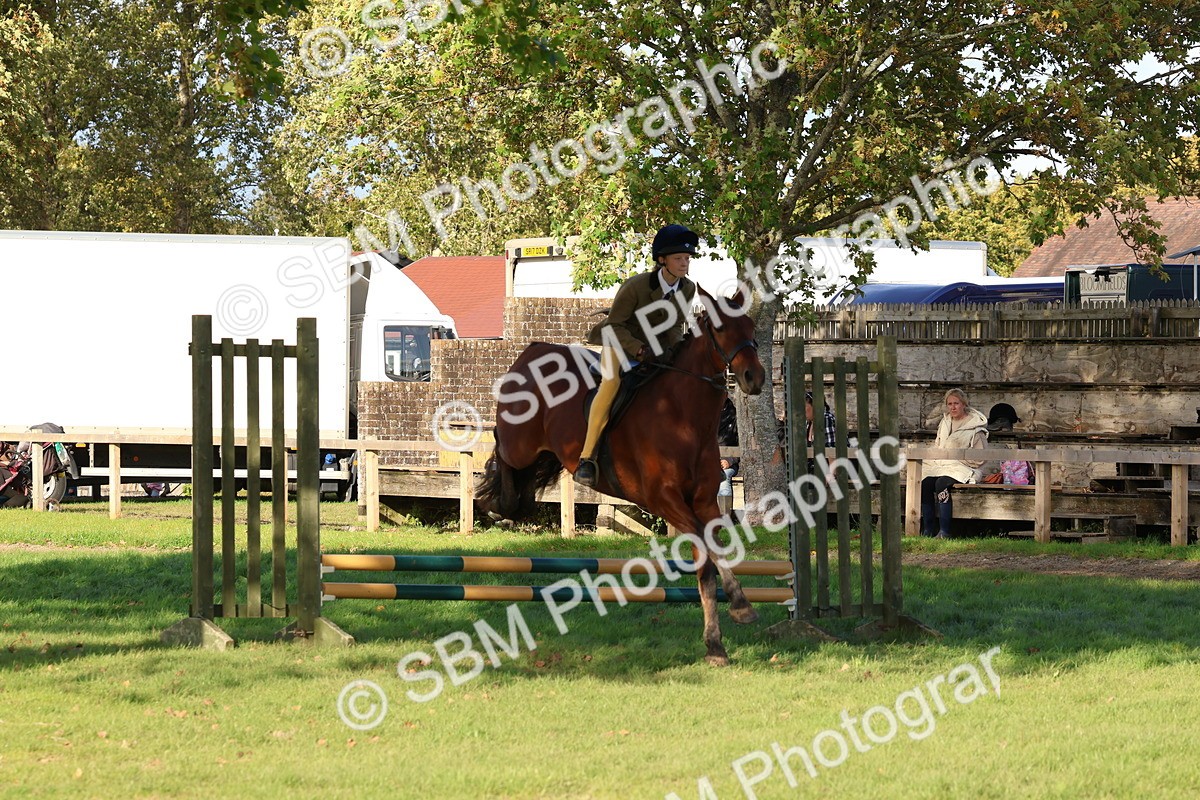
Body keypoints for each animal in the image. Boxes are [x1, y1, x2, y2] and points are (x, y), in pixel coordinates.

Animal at [477, 288, 767, 665]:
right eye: (720, 329)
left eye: (749, 325)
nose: (753, 377)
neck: (684, 418)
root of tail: (532, 350)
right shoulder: (664, 500)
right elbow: (707, 552)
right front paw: (740, 607)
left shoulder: (703, 502)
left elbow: (708, 562)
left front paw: (716, 642)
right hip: (520, 443)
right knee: (501, 448)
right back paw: (499, 503)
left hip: (545, 452)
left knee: (525, 477)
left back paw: (512, 504)